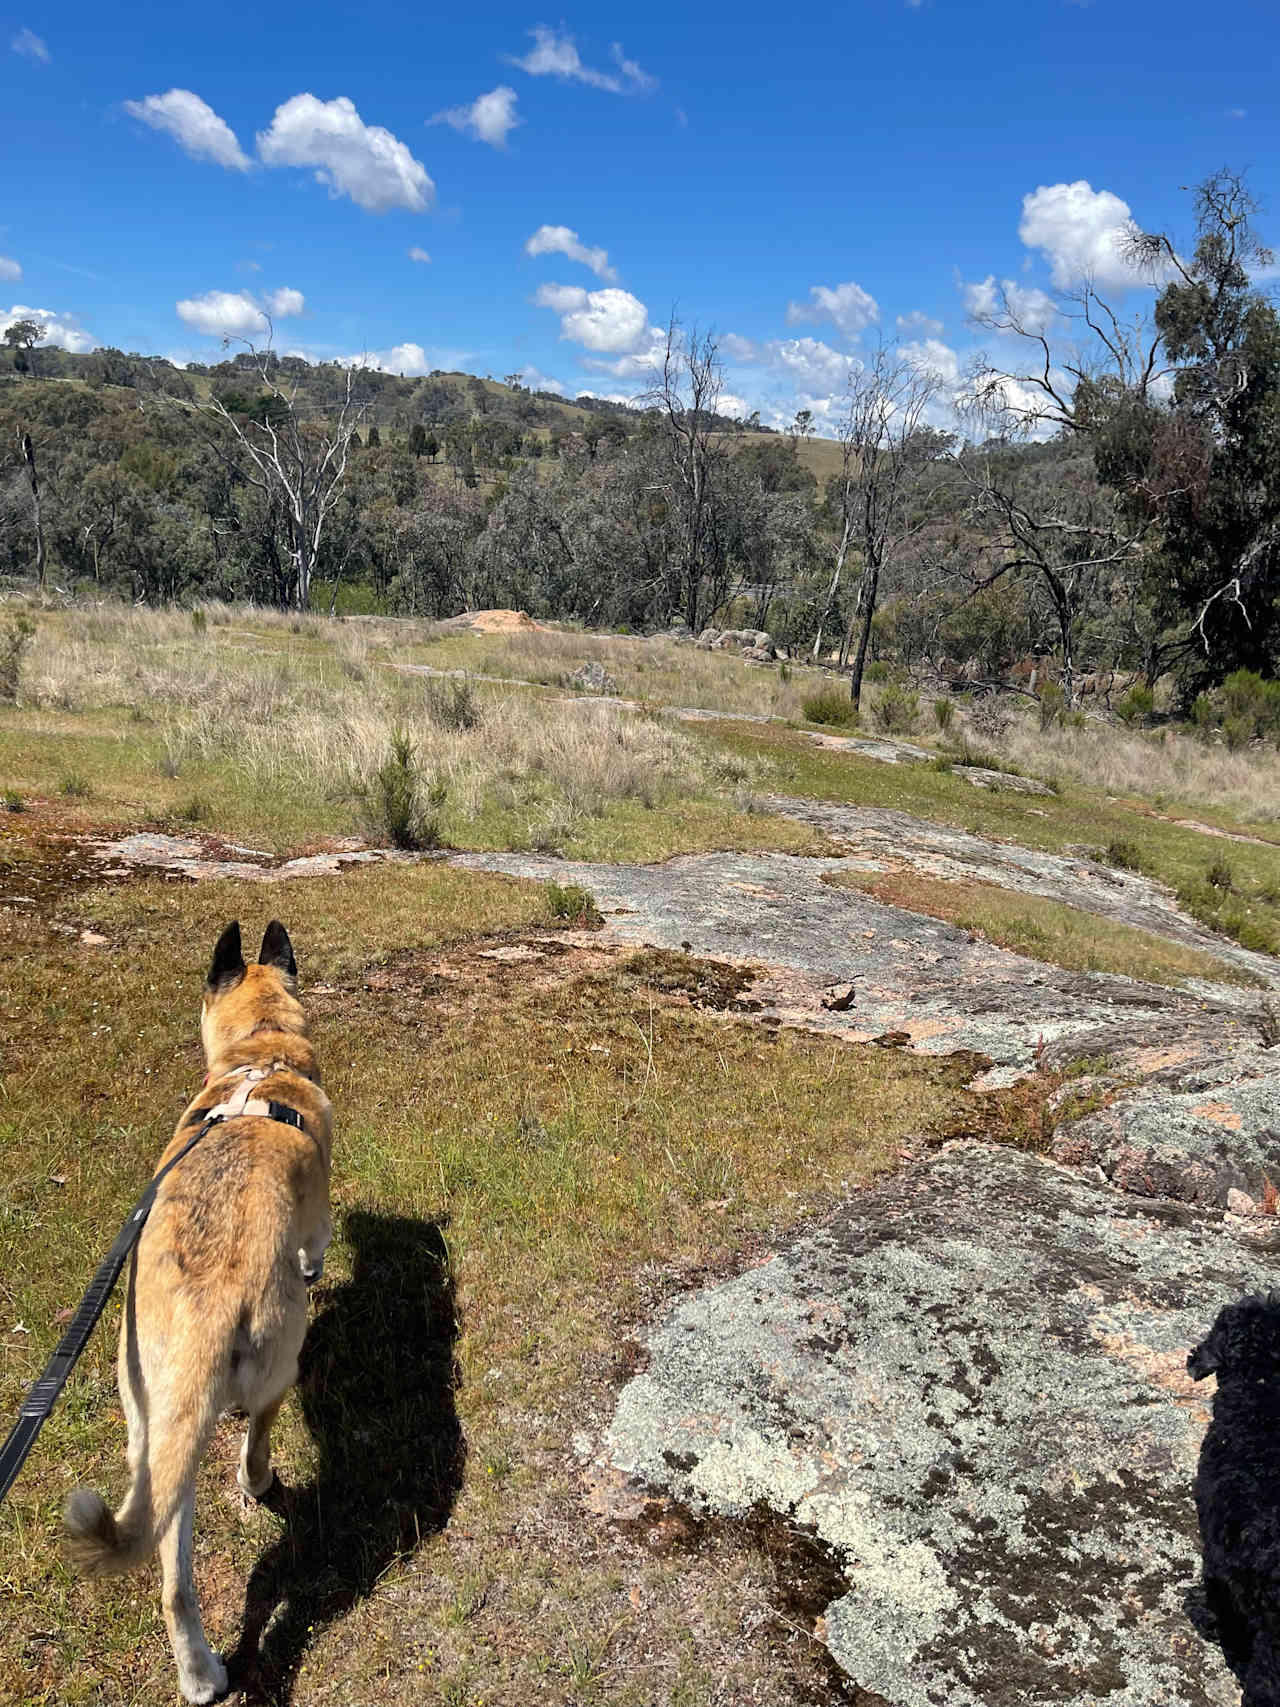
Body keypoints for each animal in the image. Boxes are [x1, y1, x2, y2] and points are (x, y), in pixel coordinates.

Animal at [65, 928, 332, 1700]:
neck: (260, 1056)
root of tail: (206, 1308)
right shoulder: (319, 1218)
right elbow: (319, 1243)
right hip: (279, 1354)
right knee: (258, 1435)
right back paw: (259, 1479)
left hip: (152, 1423)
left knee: (171, 1579)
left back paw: (200, 1672)